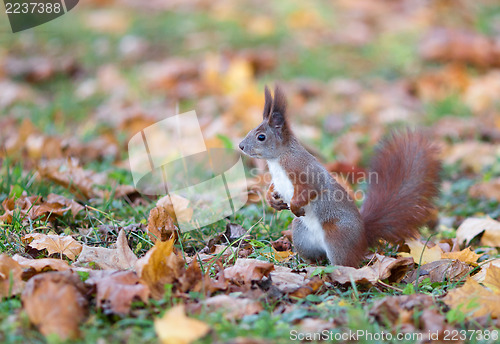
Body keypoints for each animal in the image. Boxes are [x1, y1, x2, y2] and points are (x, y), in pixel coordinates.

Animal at [240, 85, 440, 266]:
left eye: (261, 137)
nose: (241, 146)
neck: (277, 159)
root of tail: (363, 238)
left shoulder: (302, 170)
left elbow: (311, 189)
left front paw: (295, 206)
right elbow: (273, 188)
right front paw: (272, 200)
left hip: (337, 237)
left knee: (346, 264)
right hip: (301, 234)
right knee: (315, 256)